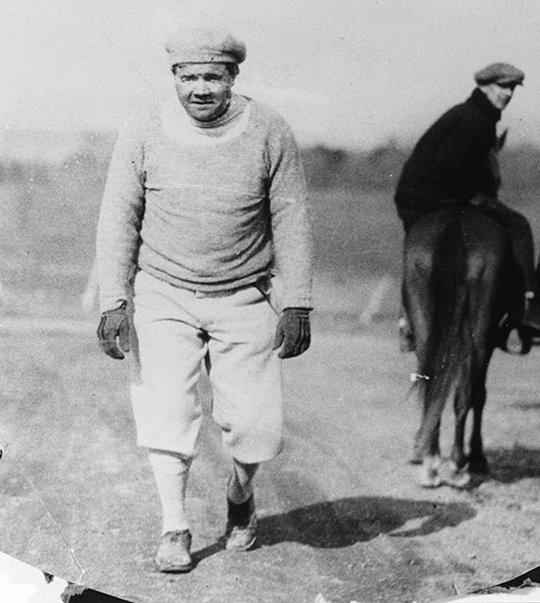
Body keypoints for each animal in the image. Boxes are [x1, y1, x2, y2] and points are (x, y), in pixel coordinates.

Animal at [402, 205, 520, 488]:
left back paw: (431, 463)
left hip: (426, 324)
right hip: (481, 335)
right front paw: (477, 457)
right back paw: (456, 464)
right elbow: (479, 394)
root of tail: (455, 222)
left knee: (432, 385)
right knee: (466, 391)